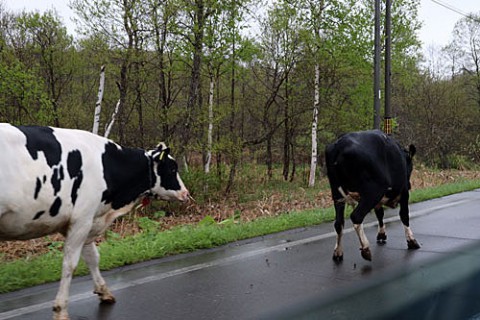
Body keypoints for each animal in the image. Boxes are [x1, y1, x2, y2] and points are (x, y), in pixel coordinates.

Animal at [0, 124, 190, 320]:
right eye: (172, 169)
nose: (186, 193)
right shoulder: (82, 219)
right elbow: (70, 264)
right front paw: (60, 309)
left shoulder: (86, 221)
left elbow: (93, 257)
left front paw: (103, 291)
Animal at [324, 130, 418, 262]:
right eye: (411, 167)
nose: (409, 185)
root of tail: (339, 145)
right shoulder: (404, 192)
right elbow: (404, 215)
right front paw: (411, 240)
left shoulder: (379, 200)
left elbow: (380, 213)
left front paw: (381, 234)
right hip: (373, 191)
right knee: (356, 216)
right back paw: (365, 248)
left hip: (336, 194)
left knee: (339, 223)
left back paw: (338, 252)